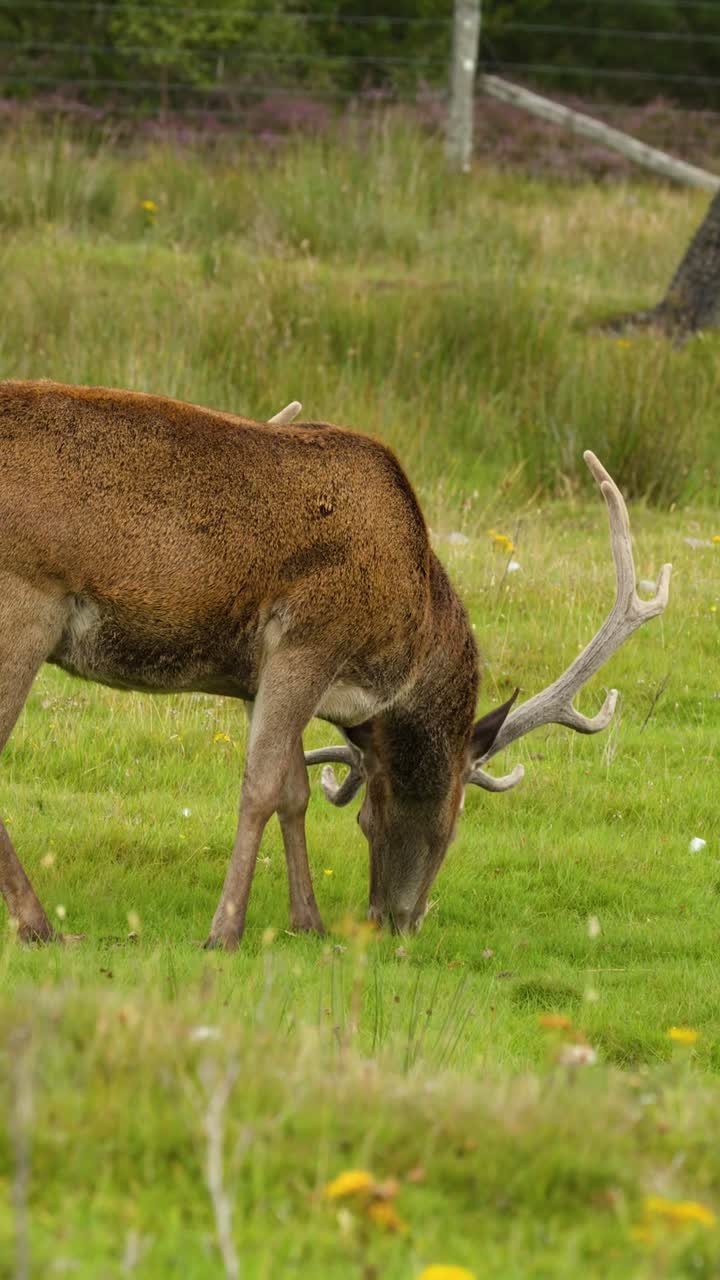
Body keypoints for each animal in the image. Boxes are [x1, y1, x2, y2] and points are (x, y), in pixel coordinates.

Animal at [0, 379, 671, 949]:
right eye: (454, 822)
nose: (400, 922)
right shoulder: (309, 644)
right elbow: (260, 787)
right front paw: (224, 932)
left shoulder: (261, 675)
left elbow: (294, 790)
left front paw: (309, 922)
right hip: (25, 608)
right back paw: (39, 924)